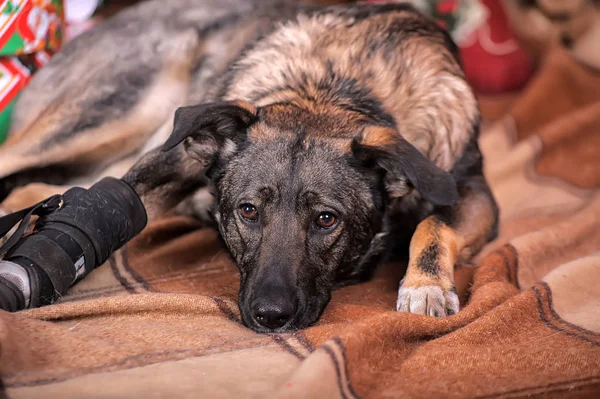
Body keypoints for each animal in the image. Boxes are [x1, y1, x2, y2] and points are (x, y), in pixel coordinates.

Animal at [0, 0, 500, 332]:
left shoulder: (473, 192)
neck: (332, 87)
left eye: (326, 219)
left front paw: (425, 286)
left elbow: (433, 224)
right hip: (118, 111)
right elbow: (100, 214)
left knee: (36, 188)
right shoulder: (171, 162)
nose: (270, 317)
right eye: (247, 211)